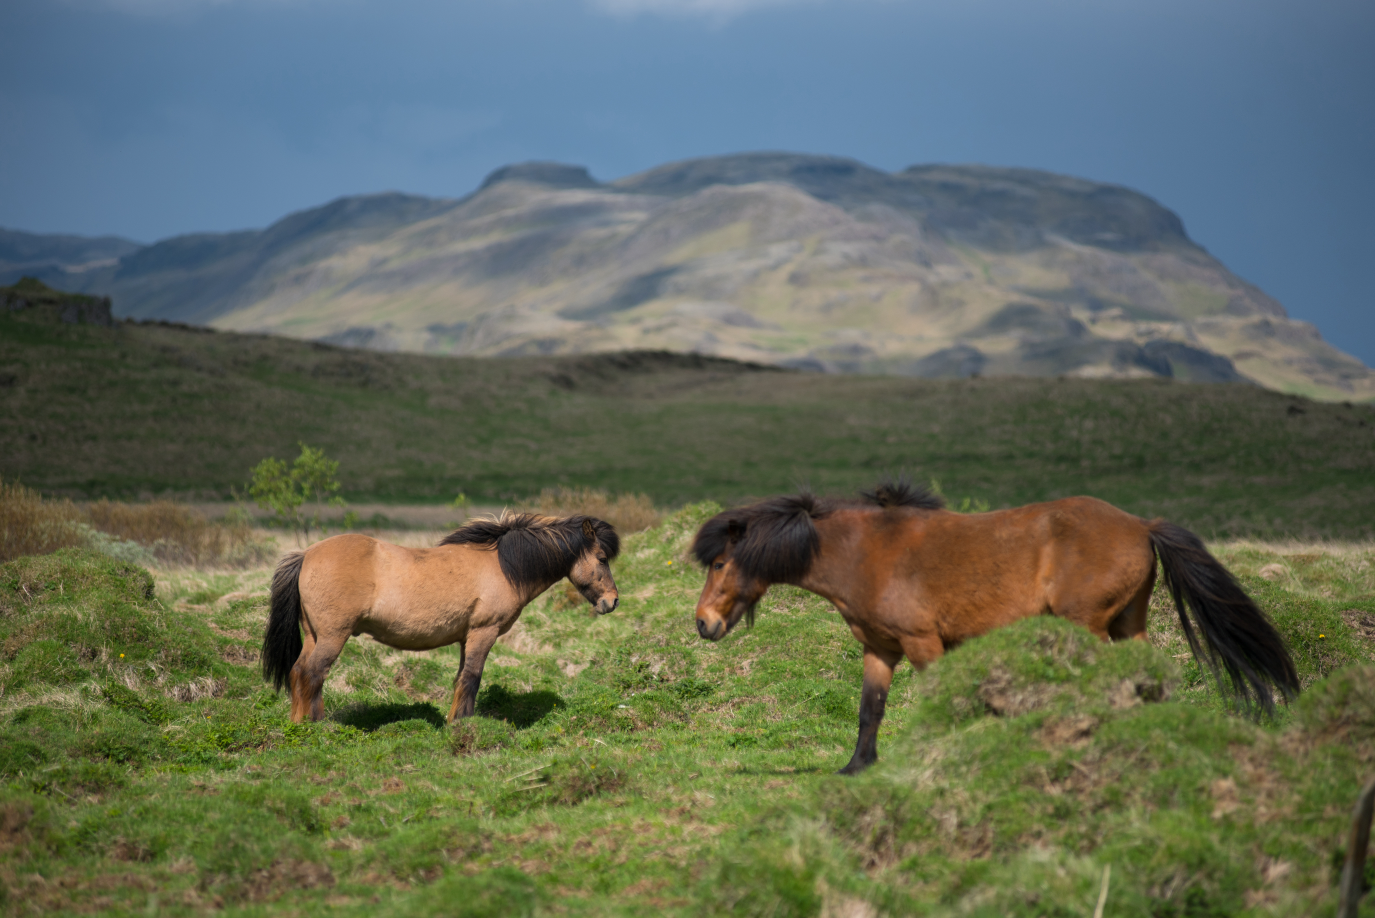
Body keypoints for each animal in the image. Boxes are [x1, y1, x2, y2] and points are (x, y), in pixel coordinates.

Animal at [261, 512, 620, 724]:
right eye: (602, 558)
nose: (612, 601)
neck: (503, 567)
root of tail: (306, 554)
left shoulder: (465, 637)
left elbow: (461, 678)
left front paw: (457, 721)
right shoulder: (483, 633)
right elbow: (471, 678)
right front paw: (461, 725)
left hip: (314, 635)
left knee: (298, 673)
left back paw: (298, 725)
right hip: (333, 635)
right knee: (313, 674)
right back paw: (317, 727)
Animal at [692, 480, 1298, 775]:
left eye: (719, 564)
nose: (703, 624)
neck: (865, 552)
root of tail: (1140, 525)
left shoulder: (924, 643)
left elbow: (949, 700)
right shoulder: (880, 650)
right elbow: (870, 711)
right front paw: (858, 767)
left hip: (1088, 626)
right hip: (1130, 624)